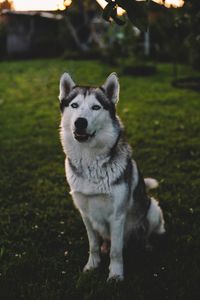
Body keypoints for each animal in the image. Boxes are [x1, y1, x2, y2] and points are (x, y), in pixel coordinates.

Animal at [58, 72, 165, 282]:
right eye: (74, 105)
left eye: (96, 107)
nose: (80, 122)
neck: (90, 161)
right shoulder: (85, 213)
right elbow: (92, 245)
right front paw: (92, 265)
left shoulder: (117, 216)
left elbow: (117, 251)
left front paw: (115, 275)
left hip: (152, 209)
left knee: (147, 233)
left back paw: (146, 245)